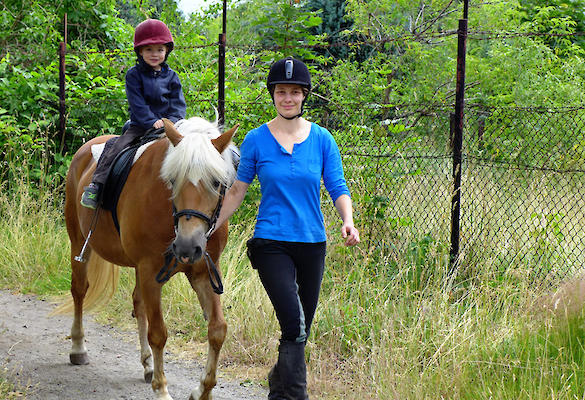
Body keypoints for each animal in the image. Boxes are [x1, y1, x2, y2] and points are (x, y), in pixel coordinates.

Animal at [55, 117, 237, 398]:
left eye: (216, 182)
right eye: (172, 179)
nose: (187, 246)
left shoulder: (204, 272)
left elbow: (217, 329)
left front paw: (202, 390)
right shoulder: (151, 270)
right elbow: (159, 333)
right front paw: (162, 389)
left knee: (138, 303)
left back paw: (147, 364)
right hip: (78, 241)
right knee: (79, 290)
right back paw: (78, 348)